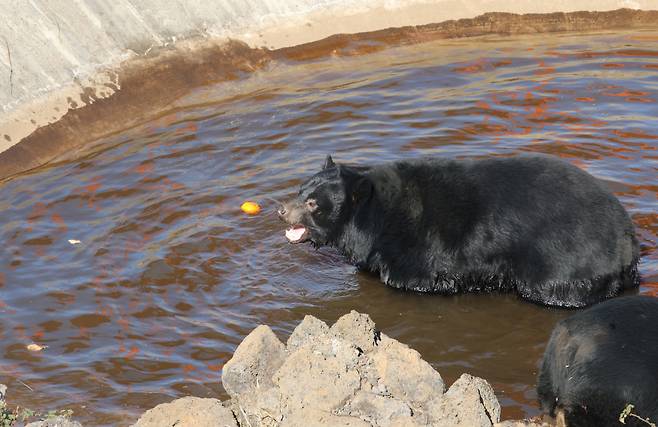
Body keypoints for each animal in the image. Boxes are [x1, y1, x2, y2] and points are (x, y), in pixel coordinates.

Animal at [276, 155, 636, 308]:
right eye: (299, 190)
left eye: (312, 203)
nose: (281, 210)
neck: (371, 216)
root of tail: (627, 240)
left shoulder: (416, 249)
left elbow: (416, 279)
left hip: (564, 261)